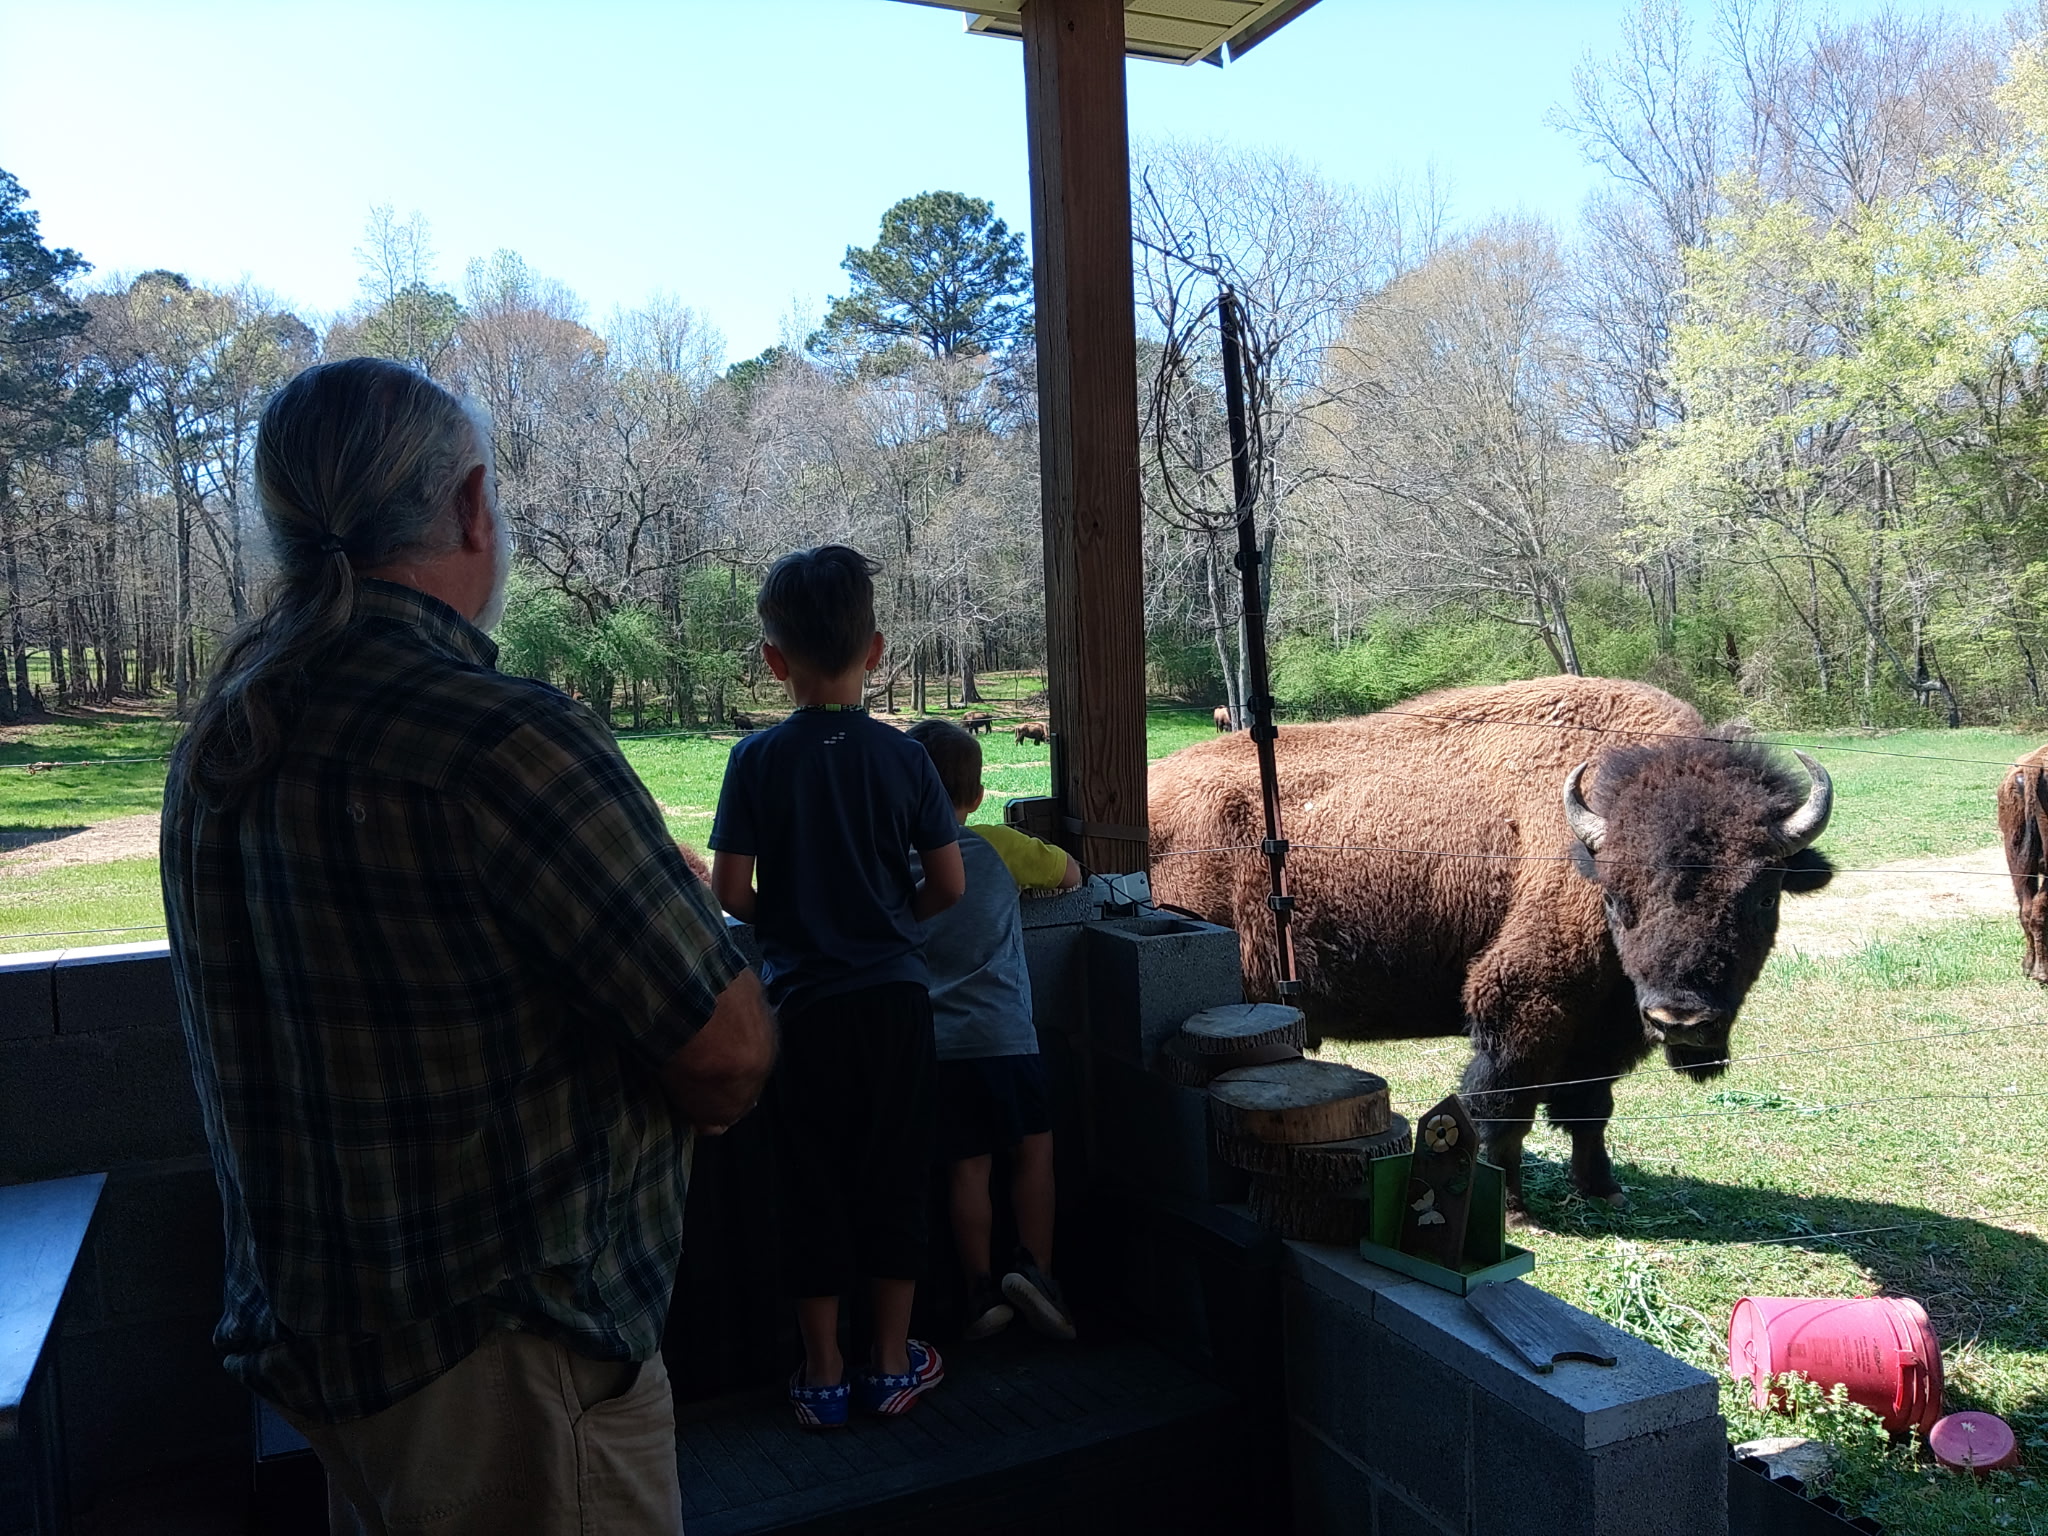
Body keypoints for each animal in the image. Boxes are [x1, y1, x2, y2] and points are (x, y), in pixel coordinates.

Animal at [1149, 677, 1834, 1217]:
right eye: (1616, 895)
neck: (1586, 844)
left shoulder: (1606, 1026)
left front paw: (1603, 1189)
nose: (1682, 1019)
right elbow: (1504, 1109)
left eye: (1762, 896)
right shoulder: (1525, 1008)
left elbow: (1590, 1108)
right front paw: (1513, 1208)